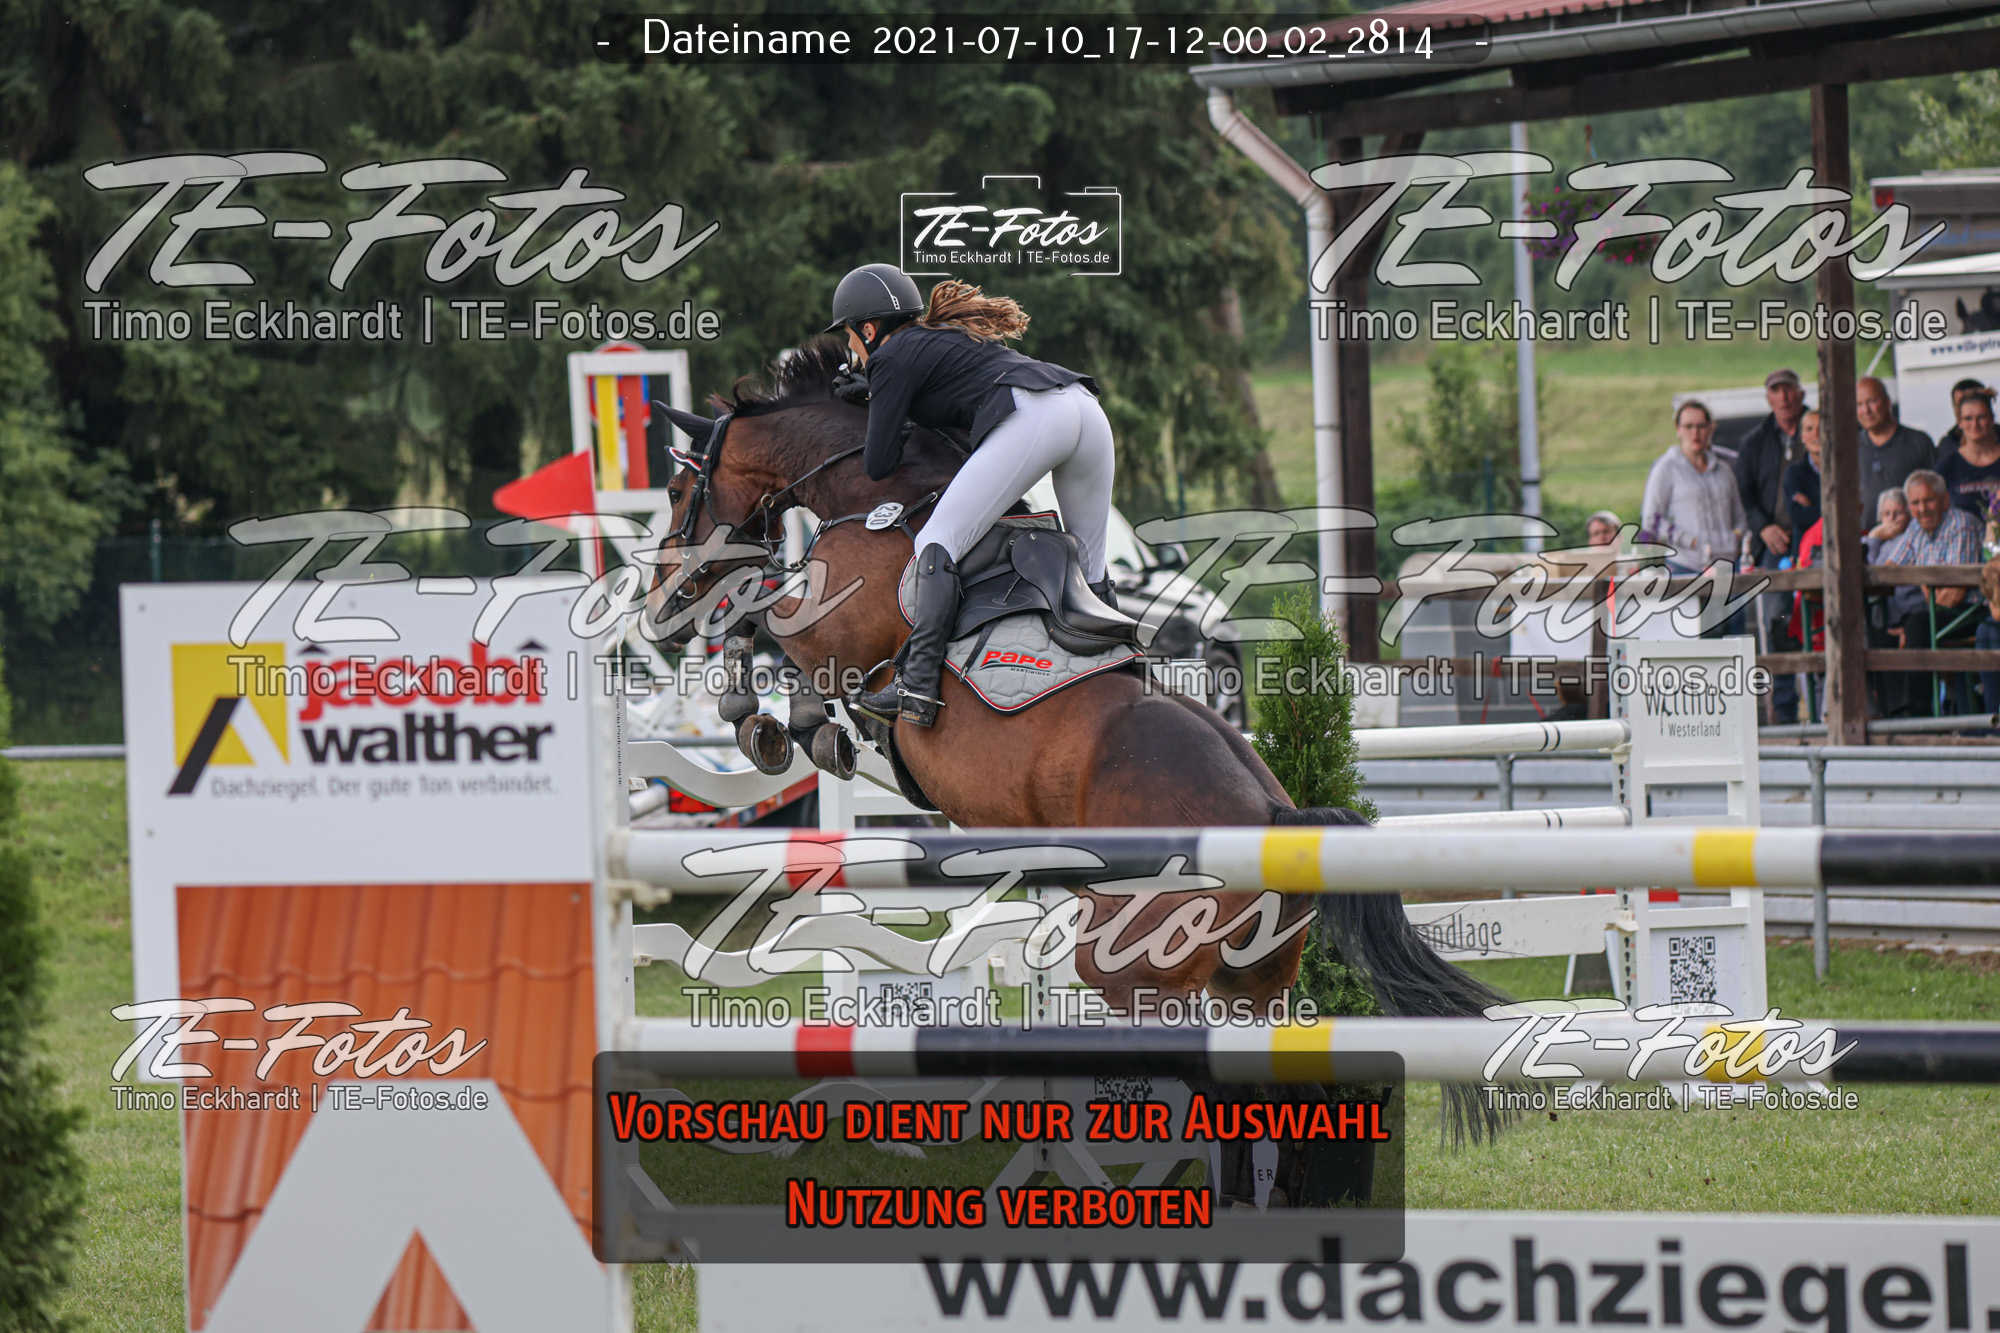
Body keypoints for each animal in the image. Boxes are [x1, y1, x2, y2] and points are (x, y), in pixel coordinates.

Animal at [643, 336, 1508, 1143]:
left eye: (678, 490)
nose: (659, 607)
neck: (874, 495)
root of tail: (1275, 816)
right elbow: (764, 620)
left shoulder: (839, 635)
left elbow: (768, 624)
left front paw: (773, 723)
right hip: (1253, 983)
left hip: (1136, 964)